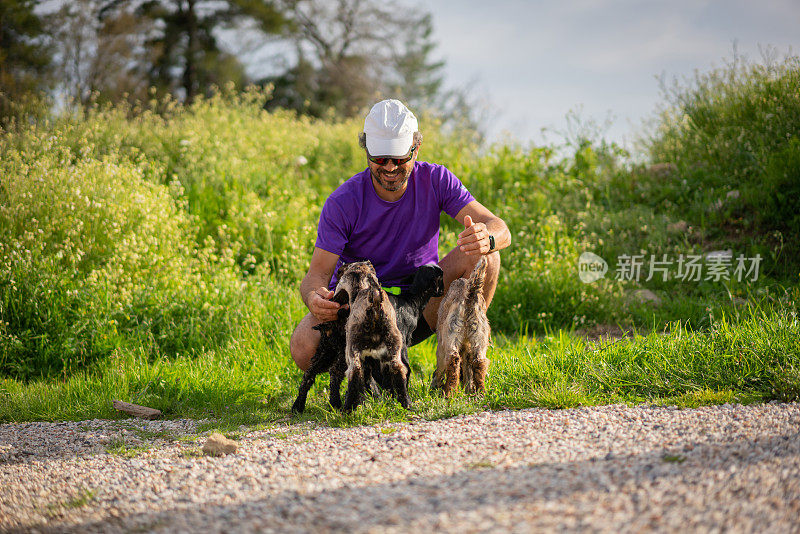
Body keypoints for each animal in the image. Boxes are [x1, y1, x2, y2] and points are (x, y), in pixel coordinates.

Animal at [434, 255, 490, 398]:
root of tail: (470, 293)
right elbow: (468, 371)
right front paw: (469, 389)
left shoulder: (441, 346)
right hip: (479, 337)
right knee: (479, 363)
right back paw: (481, 393)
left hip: (451, 336)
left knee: (453, 361)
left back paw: (448, 394)